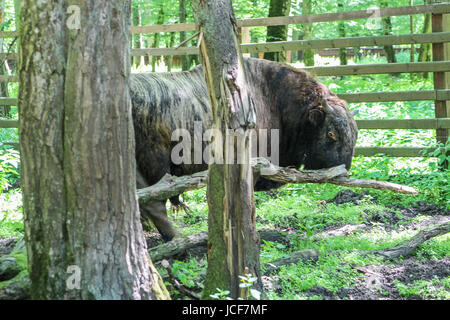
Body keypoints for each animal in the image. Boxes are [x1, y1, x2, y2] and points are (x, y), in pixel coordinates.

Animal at [130, 58, 358, 241]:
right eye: (331, 133)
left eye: (354, 135)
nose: (344, 170)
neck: (275, 98)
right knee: (155, 204)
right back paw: (177, 238)